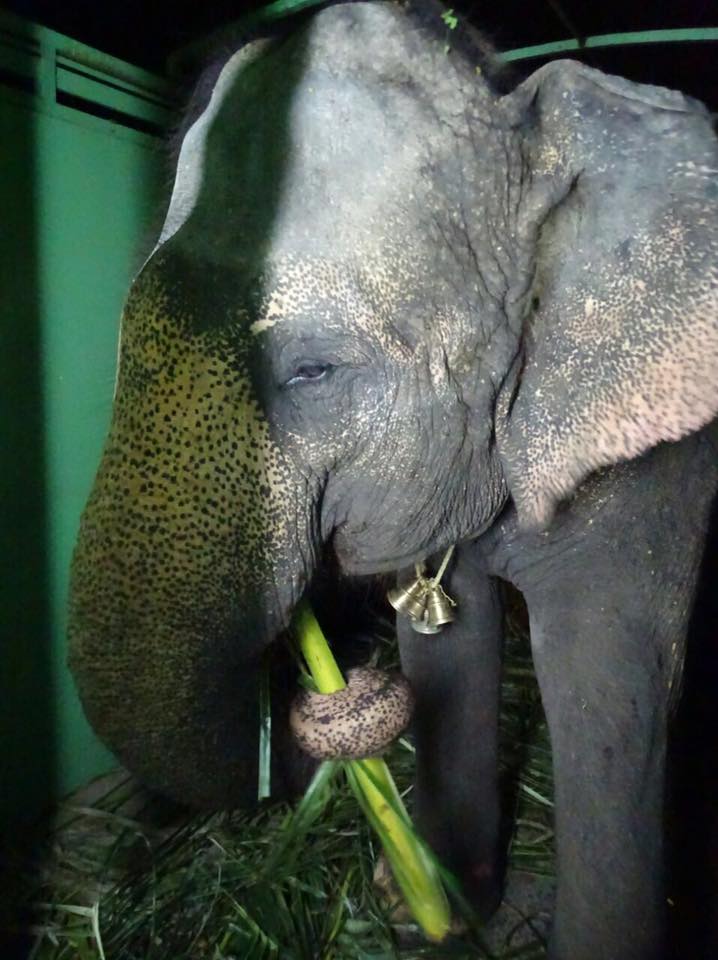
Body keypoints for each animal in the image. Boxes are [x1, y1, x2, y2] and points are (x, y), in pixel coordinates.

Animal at [68, 2, 718, 958]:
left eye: (311, 372)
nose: (319, 705)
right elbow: (446, 641)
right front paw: (439, 917)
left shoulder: (652, 451)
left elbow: (606, 678)